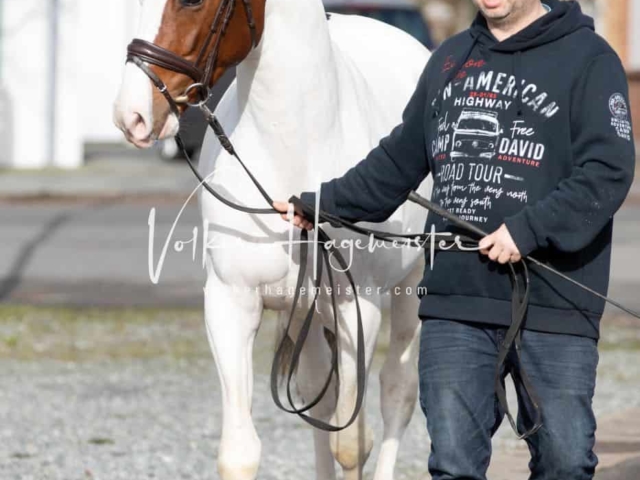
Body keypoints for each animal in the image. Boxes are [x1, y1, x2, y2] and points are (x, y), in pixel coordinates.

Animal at [114, 1, 436, 478]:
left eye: (192, 3)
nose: (131, 115)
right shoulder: (230, 304)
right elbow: (240, 453)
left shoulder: (358, 308)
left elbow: (352, 445)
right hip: (307, 312)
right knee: (317, 399)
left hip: (409, 293)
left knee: (398, 393)